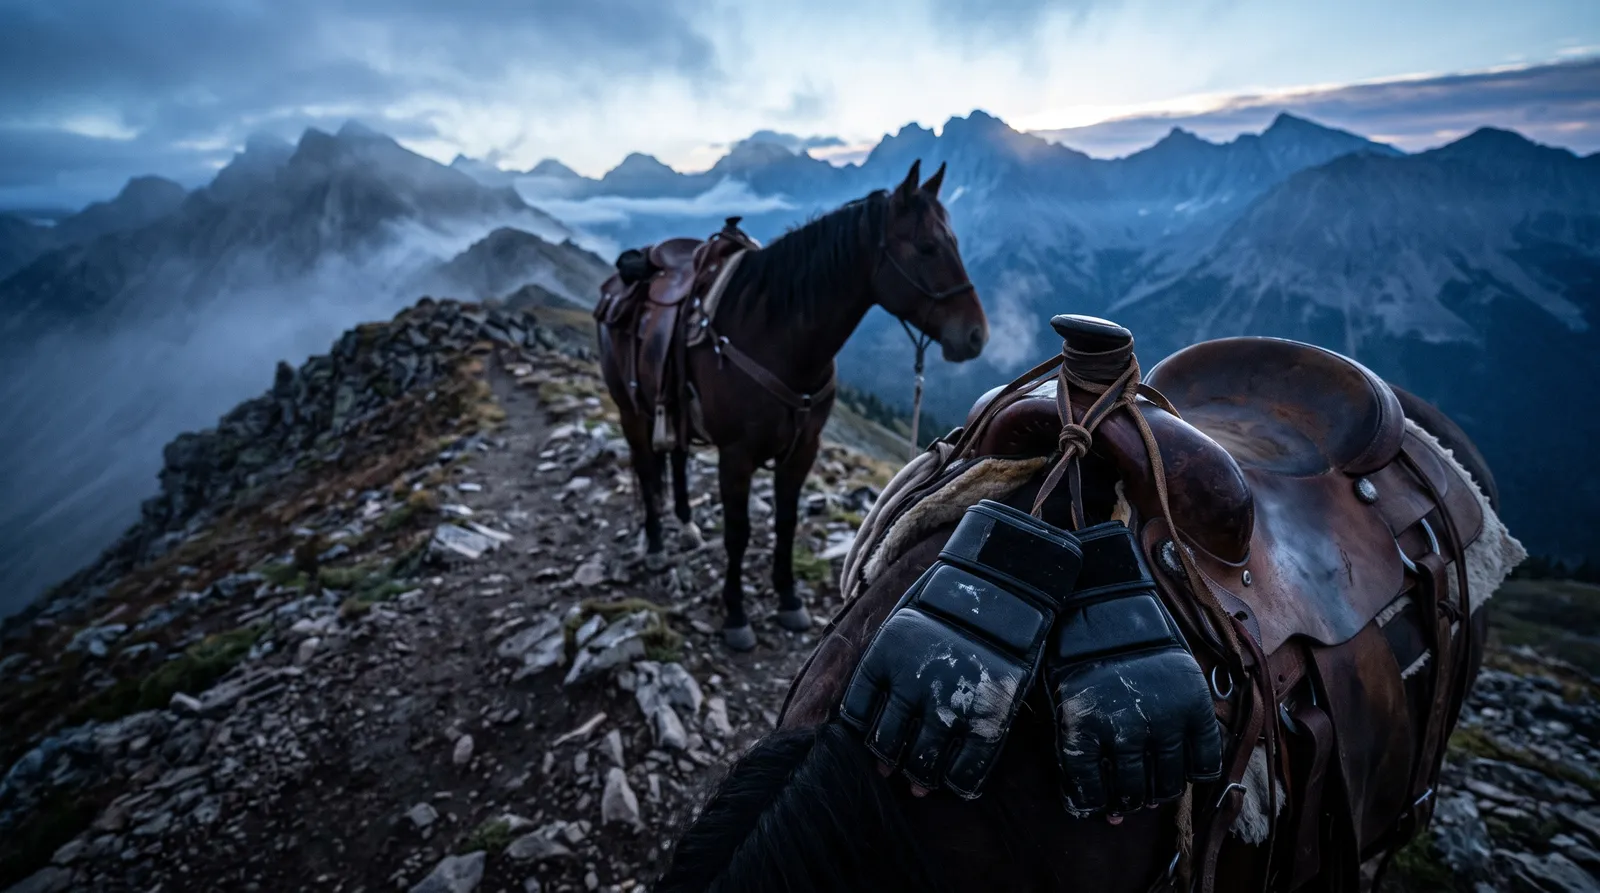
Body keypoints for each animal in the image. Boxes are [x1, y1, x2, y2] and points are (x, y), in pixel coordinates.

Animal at [596, 161, 990, 651]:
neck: (774, 335)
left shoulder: (803, 450)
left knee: (678, 458)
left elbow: (785, 522)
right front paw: (736, 614)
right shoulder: (736, 456)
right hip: (632, 411)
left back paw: (686, 526)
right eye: (927, 246)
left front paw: (788, 599)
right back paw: (653, 545)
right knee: (647, 469)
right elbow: (738, 532)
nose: (976, 334)